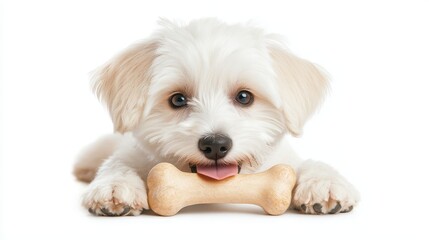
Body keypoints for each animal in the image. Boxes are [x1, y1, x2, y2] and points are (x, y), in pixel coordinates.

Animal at [73, 18, 358, 216]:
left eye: (244, 97)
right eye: (178, 99)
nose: (215, 144)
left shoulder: (284, 162)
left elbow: (308, 164)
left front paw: (324, 183)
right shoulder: (133, 155)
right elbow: (118, 163)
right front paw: (115, 185)